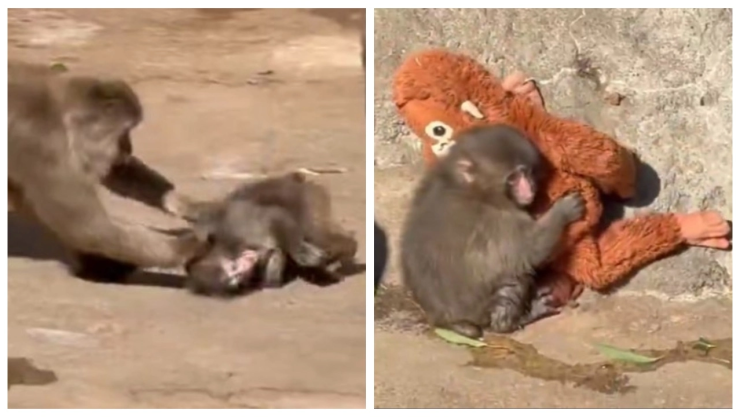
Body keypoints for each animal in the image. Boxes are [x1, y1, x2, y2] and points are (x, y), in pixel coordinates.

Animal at [8, 61, 203, 282]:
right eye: (124, 133)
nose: (128, 148)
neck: (59, 113)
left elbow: (115, 172)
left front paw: (183, 203)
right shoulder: (42, 143)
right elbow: (84, 226)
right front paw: (188, 246)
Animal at [184, 172, 359, 297]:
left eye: (233, 270)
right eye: (233, 279)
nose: (241, 275)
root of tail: (294, 179)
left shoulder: (238, 226)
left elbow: (276, 216)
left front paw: (302, 254)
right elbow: (274, 260)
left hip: (309, 199)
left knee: (313, 231)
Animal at [400, 124, 585, 339]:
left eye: (527, 172)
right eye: (513, 178)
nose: (529, 189)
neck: (469, 188)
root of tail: (443, 320)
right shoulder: (498, 219)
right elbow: (531, 249)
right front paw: (563, 210)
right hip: (480, 309)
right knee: (513, 277)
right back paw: (513, 321)